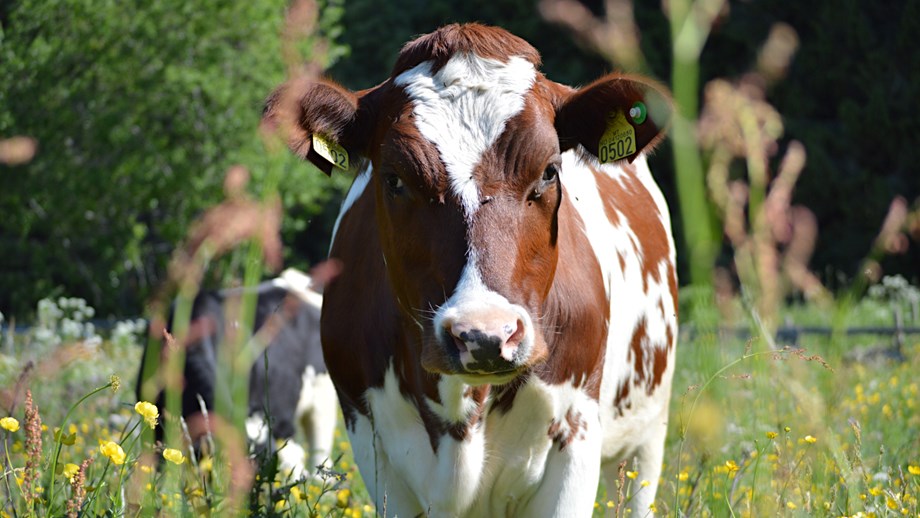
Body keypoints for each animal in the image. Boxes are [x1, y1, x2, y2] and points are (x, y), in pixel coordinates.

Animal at [262, 22, 680, 516]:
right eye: (395, 178)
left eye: (549, 171)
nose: (484, 336)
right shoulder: (370, 440)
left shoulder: (576, 433)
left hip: (647, 437)